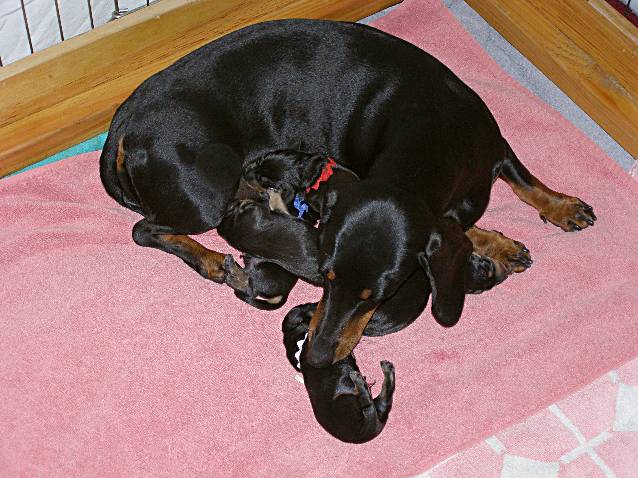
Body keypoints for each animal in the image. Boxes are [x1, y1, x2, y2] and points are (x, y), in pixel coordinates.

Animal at [99, 18, 596, 368]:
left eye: (376, 296)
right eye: (325, 277)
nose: (316, 358)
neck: (433, 136)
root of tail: (125, 123)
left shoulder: (493, 146)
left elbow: (525, 183)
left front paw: (560, 209)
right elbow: (462, 226)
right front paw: (498, 243)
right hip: (206, 192)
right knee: (145, 230)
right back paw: (212, 260)